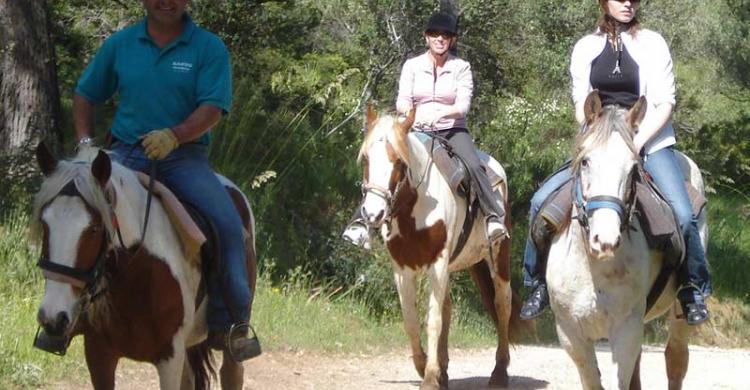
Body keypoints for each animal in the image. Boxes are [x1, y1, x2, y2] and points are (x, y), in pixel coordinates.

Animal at [32, 144, 258, 390]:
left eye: (94, 229)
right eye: (44, 223)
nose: (53, 318)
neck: (136, 276)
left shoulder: (170, 358)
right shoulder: (98, 354)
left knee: (232, 372)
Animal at [358, 107, 524, 390]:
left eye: (398, 161)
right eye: (367, 158)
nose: (373, 213)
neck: (415, 208)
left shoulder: (436, 264)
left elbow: (433, 321)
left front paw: (429, 376)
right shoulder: (402, 269)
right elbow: (412, 320)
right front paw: (425, 366)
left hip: (498, 257)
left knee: (502, 304)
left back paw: (499, 373)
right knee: (448, 308)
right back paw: (445, 372)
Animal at [548, 92, 704, 390]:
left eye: (633, 169)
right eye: (585, 161)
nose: (605, 240)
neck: (593, 269)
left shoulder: (625, 330)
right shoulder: (570, 334)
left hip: (679, 314)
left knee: (675, 359)